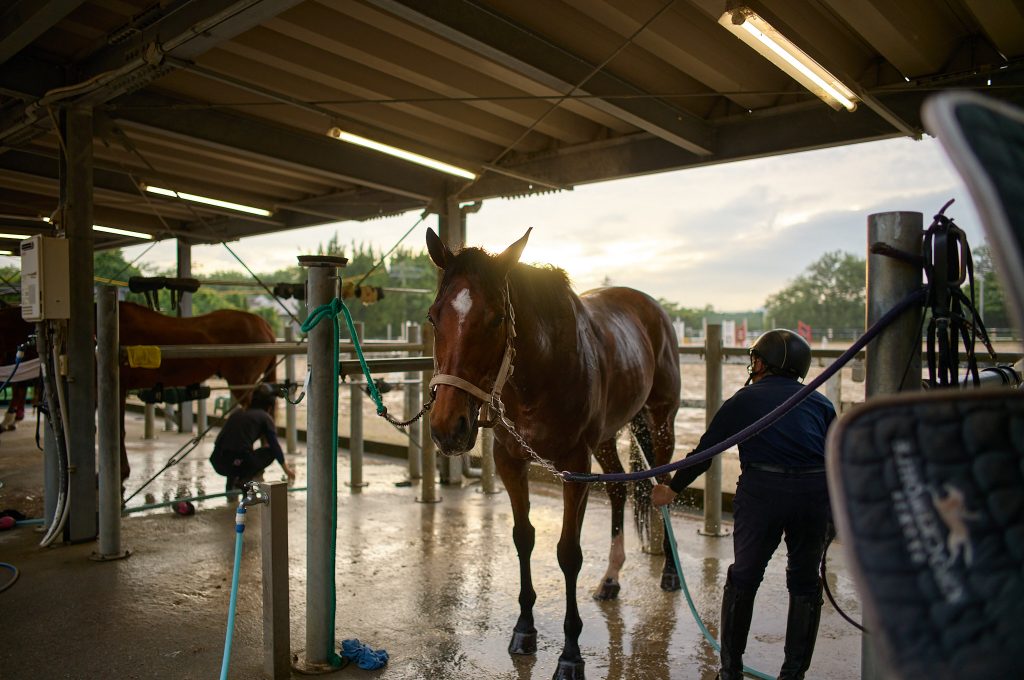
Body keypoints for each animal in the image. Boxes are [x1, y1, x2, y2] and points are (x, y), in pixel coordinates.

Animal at [425, 227, 681, 680]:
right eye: (434, 317)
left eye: (496, 319)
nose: (446, 427)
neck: (541, 371)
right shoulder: (510, 461)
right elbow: (523, 537)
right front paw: (524, 629)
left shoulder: (574, 466)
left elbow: (567, 552)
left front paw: (570, 654)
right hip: (607, 436)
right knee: (618, 490)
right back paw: (611, 578)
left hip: (662, 419)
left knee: (663, 486)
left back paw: (668, 572)